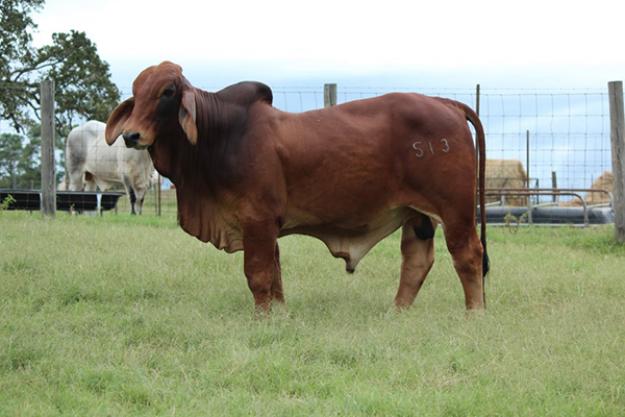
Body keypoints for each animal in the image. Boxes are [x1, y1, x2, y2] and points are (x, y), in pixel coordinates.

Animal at [105, 61, 488, 312]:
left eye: (167, 92)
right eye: (135, 92)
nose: (131, 135)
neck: (223, 134)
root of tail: (444, 102)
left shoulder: (257, 219)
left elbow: (258, 273)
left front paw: (262, 318)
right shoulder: (264, 225)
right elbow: (274, 273)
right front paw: (279, 314)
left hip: (455, 209)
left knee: (468, 255)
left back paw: (475, 314)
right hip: (416, 215)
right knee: (417, 260)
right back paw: (397, 312)